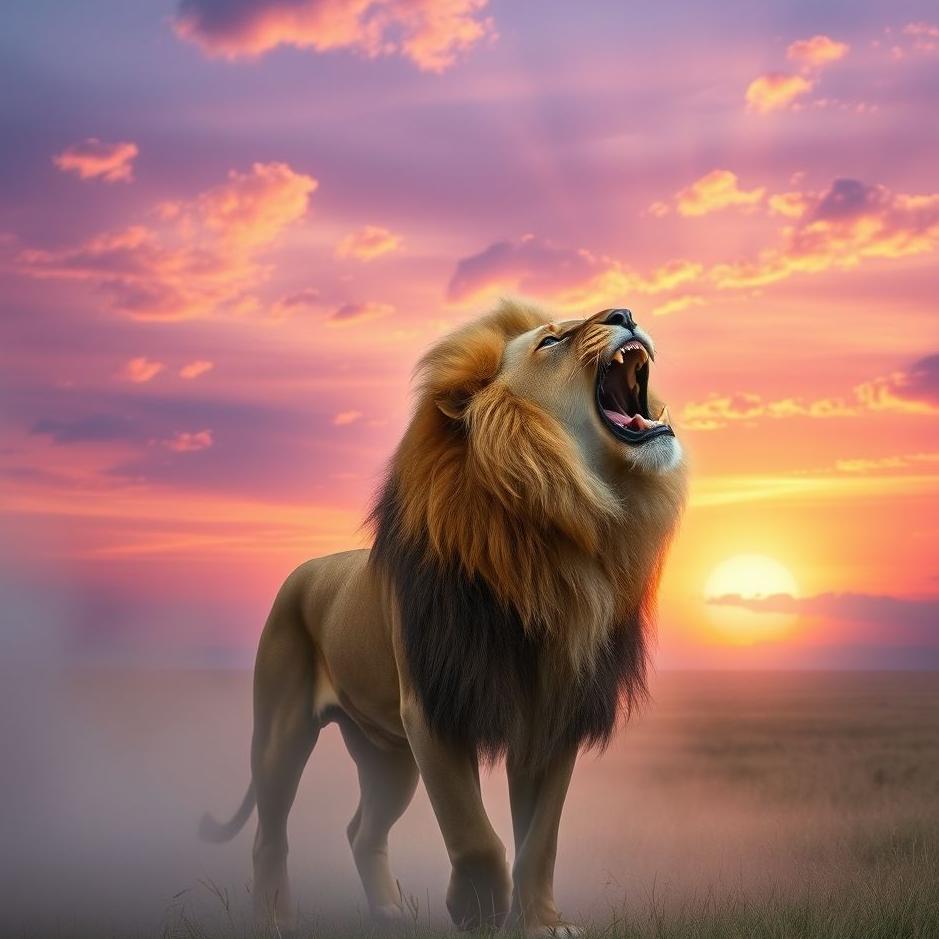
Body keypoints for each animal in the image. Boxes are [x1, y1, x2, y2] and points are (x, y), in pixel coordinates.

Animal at [200, 300, 687, 935]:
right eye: (551, 340)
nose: (624, 311)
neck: (556, 535)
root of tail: (306, 569)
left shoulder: (553, 717)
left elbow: (540, 841)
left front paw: (540, 922)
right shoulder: (433, 709)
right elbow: (474, 835)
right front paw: (478, 909)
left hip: (388, 758)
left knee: (361, 831)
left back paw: (387, 913)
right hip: (283, 732)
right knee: (270, 834)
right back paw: (277, 920)